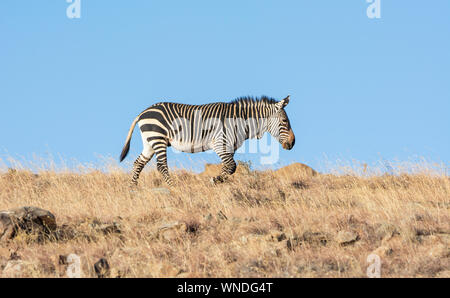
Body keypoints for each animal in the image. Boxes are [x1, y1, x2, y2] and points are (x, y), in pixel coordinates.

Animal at [118, 95, 296, 185]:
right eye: (284, 121)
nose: (293, 143)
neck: (239, 121)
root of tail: (142, 113)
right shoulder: (220, 144)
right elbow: (232, 166)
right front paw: (215, 180)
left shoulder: (229, 148)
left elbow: (229, 167)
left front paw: (219, 181)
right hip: (158, 138)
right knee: (161, 166)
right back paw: (174, 187)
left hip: (150, 142)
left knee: (138, 163)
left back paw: (132, 188)